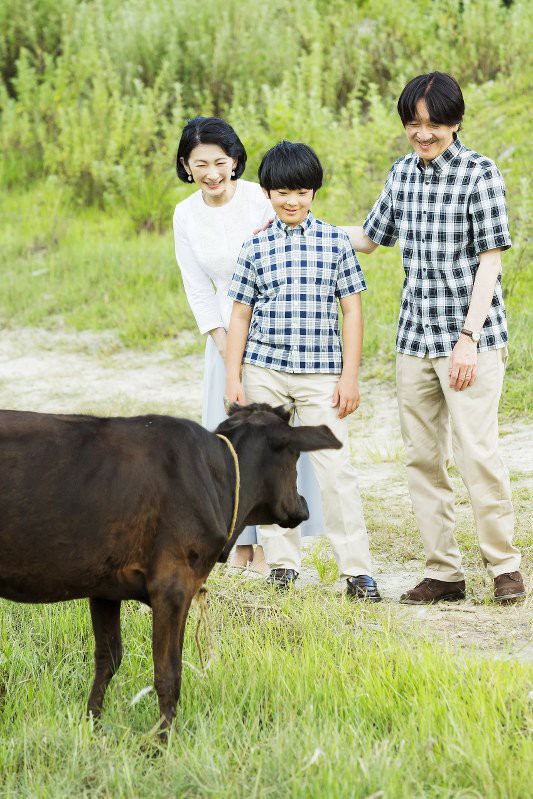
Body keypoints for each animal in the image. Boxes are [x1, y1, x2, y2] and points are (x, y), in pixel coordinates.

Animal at [0, 404, 338, 736]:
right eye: (294, 457)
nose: (304, 504)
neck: (217, 480)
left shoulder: (105, 587)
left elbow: (107, 658)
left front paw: (93, 727)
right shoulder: (173, 586)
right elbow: (168, 671)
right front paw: (163, 741)